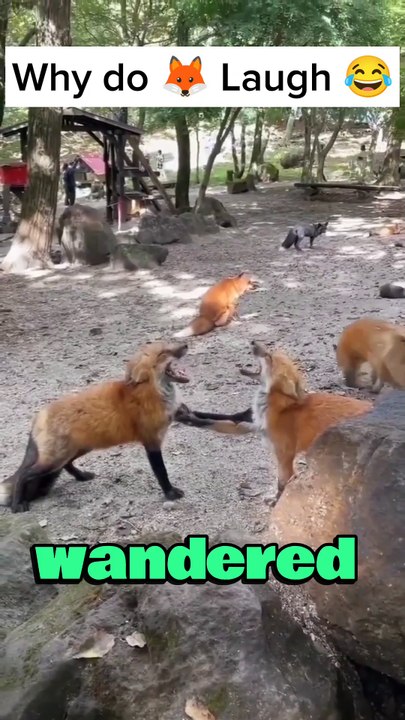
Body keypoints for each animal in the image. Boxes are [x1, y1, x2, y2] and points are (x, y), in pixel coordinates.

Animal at [4, 341, 191, 513]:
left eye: (170, 343)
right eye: (163, 353)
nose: (185, 344)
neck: (154, 393)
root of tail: (39, 415)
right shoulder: (151, 441)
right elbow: (161, 472)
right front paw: (170, 493)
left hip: (77, 450)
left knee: (66, 465)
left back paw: (81, 476)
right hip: (54, 460)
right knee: (23, 474)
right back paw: (17, 504)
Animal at [176, 340, 372, 497]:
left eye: (268, 357)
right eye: (271, 350)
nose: (253, 342)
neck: (277, 409)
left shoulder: (284, 454)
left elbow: (282, 482)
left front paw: (275, 501)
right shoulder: (247, 422)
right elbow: (209, 419)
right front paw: (183, 415)